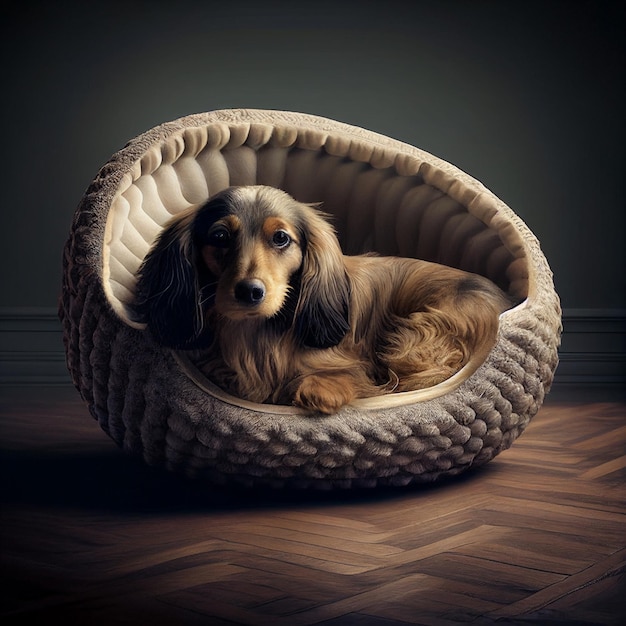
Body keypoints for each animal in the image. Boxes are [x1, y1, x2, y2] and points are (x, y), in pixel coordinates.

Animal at [133, 183, 512, 412]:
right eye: (220, 236)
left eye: (281, 238)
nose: (249, 291)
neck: (257, 335)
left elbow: (341, 377)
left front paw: (321, 390)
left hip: (414, 340)